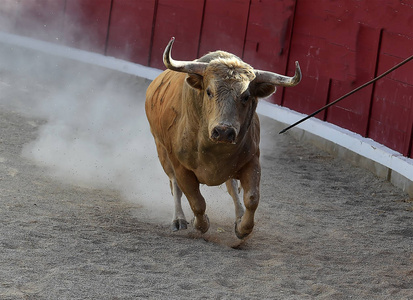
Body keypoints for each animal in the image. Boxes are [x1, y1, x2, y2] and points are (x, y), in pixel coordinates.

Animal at [145, 38, 300, 239]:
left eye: (246, 96)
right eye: (209, 92)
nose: (224, 132)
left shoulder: (252, 161)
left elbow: (251, 198)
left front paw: (243, 228)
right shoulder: (181, 167)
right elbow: (196, 201)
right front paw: (200, 224)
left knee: (233, 188)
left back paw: (239, 216)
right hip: (162, 151)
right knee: (175, 186)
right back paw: (178, 219)